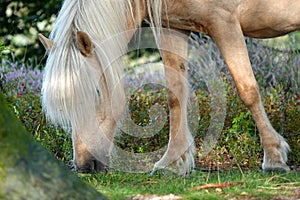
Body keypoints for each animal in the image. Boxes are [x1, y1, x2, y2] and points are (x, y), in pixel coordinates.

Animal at [37, 0, 296, 174]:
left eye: (97, 94)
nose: (84, 165)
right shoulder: (172, 28)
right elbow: (175, 95)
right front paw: (172, 162)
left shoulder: (224, 22)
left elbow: (247, 89)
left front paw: (274, 157)